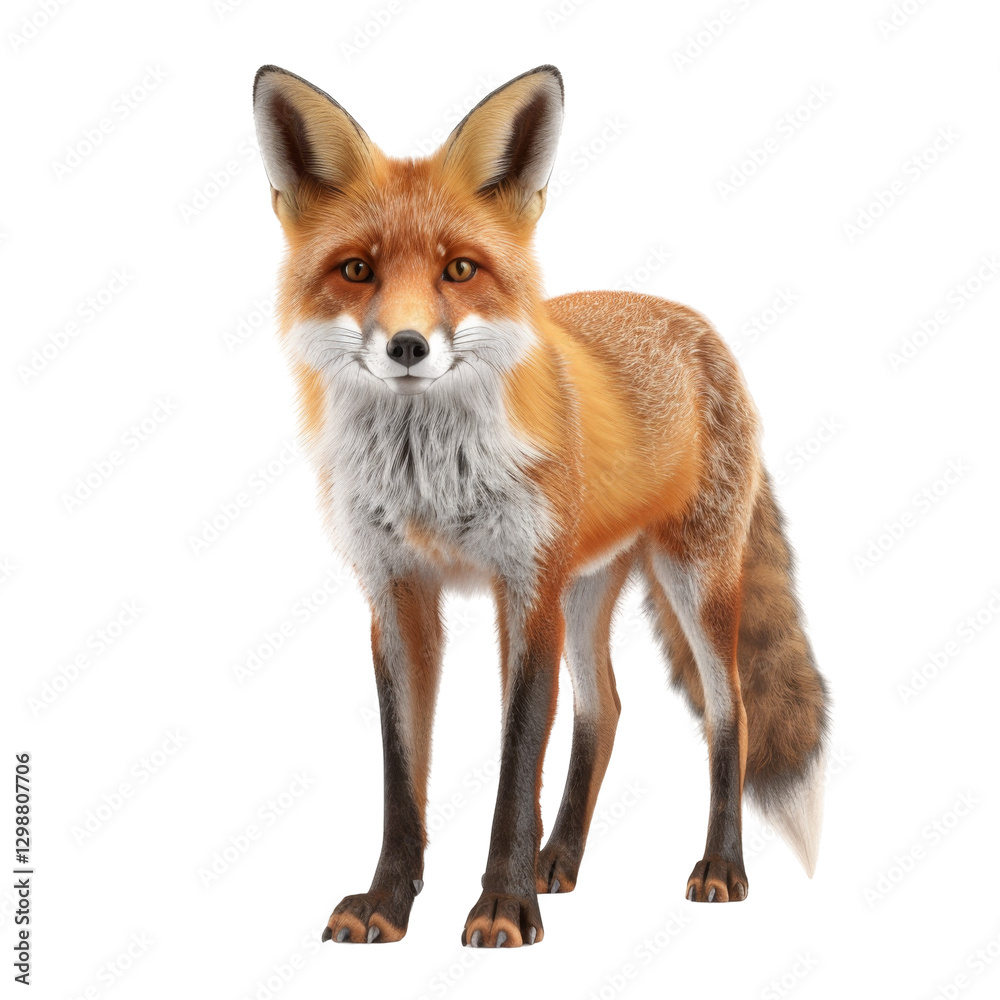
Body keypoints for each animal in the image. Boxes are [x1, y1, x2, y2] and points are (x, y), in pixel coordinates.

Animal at [252, 63, 829, 948]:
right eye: (356, 270)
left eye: (459, 270)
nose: (409, 347)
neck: (429, 476)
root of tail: (695, 324)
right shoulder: (397, 593)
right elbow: (400, 778)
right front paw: (388, 903)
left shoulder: (524, 589)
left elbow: (514, 766)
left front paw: (503, 904)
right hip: (586, 588)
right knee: (606, 708)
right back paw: (562, 858)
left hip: (692, 578)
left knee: (728, 711)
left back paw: (720, 867)